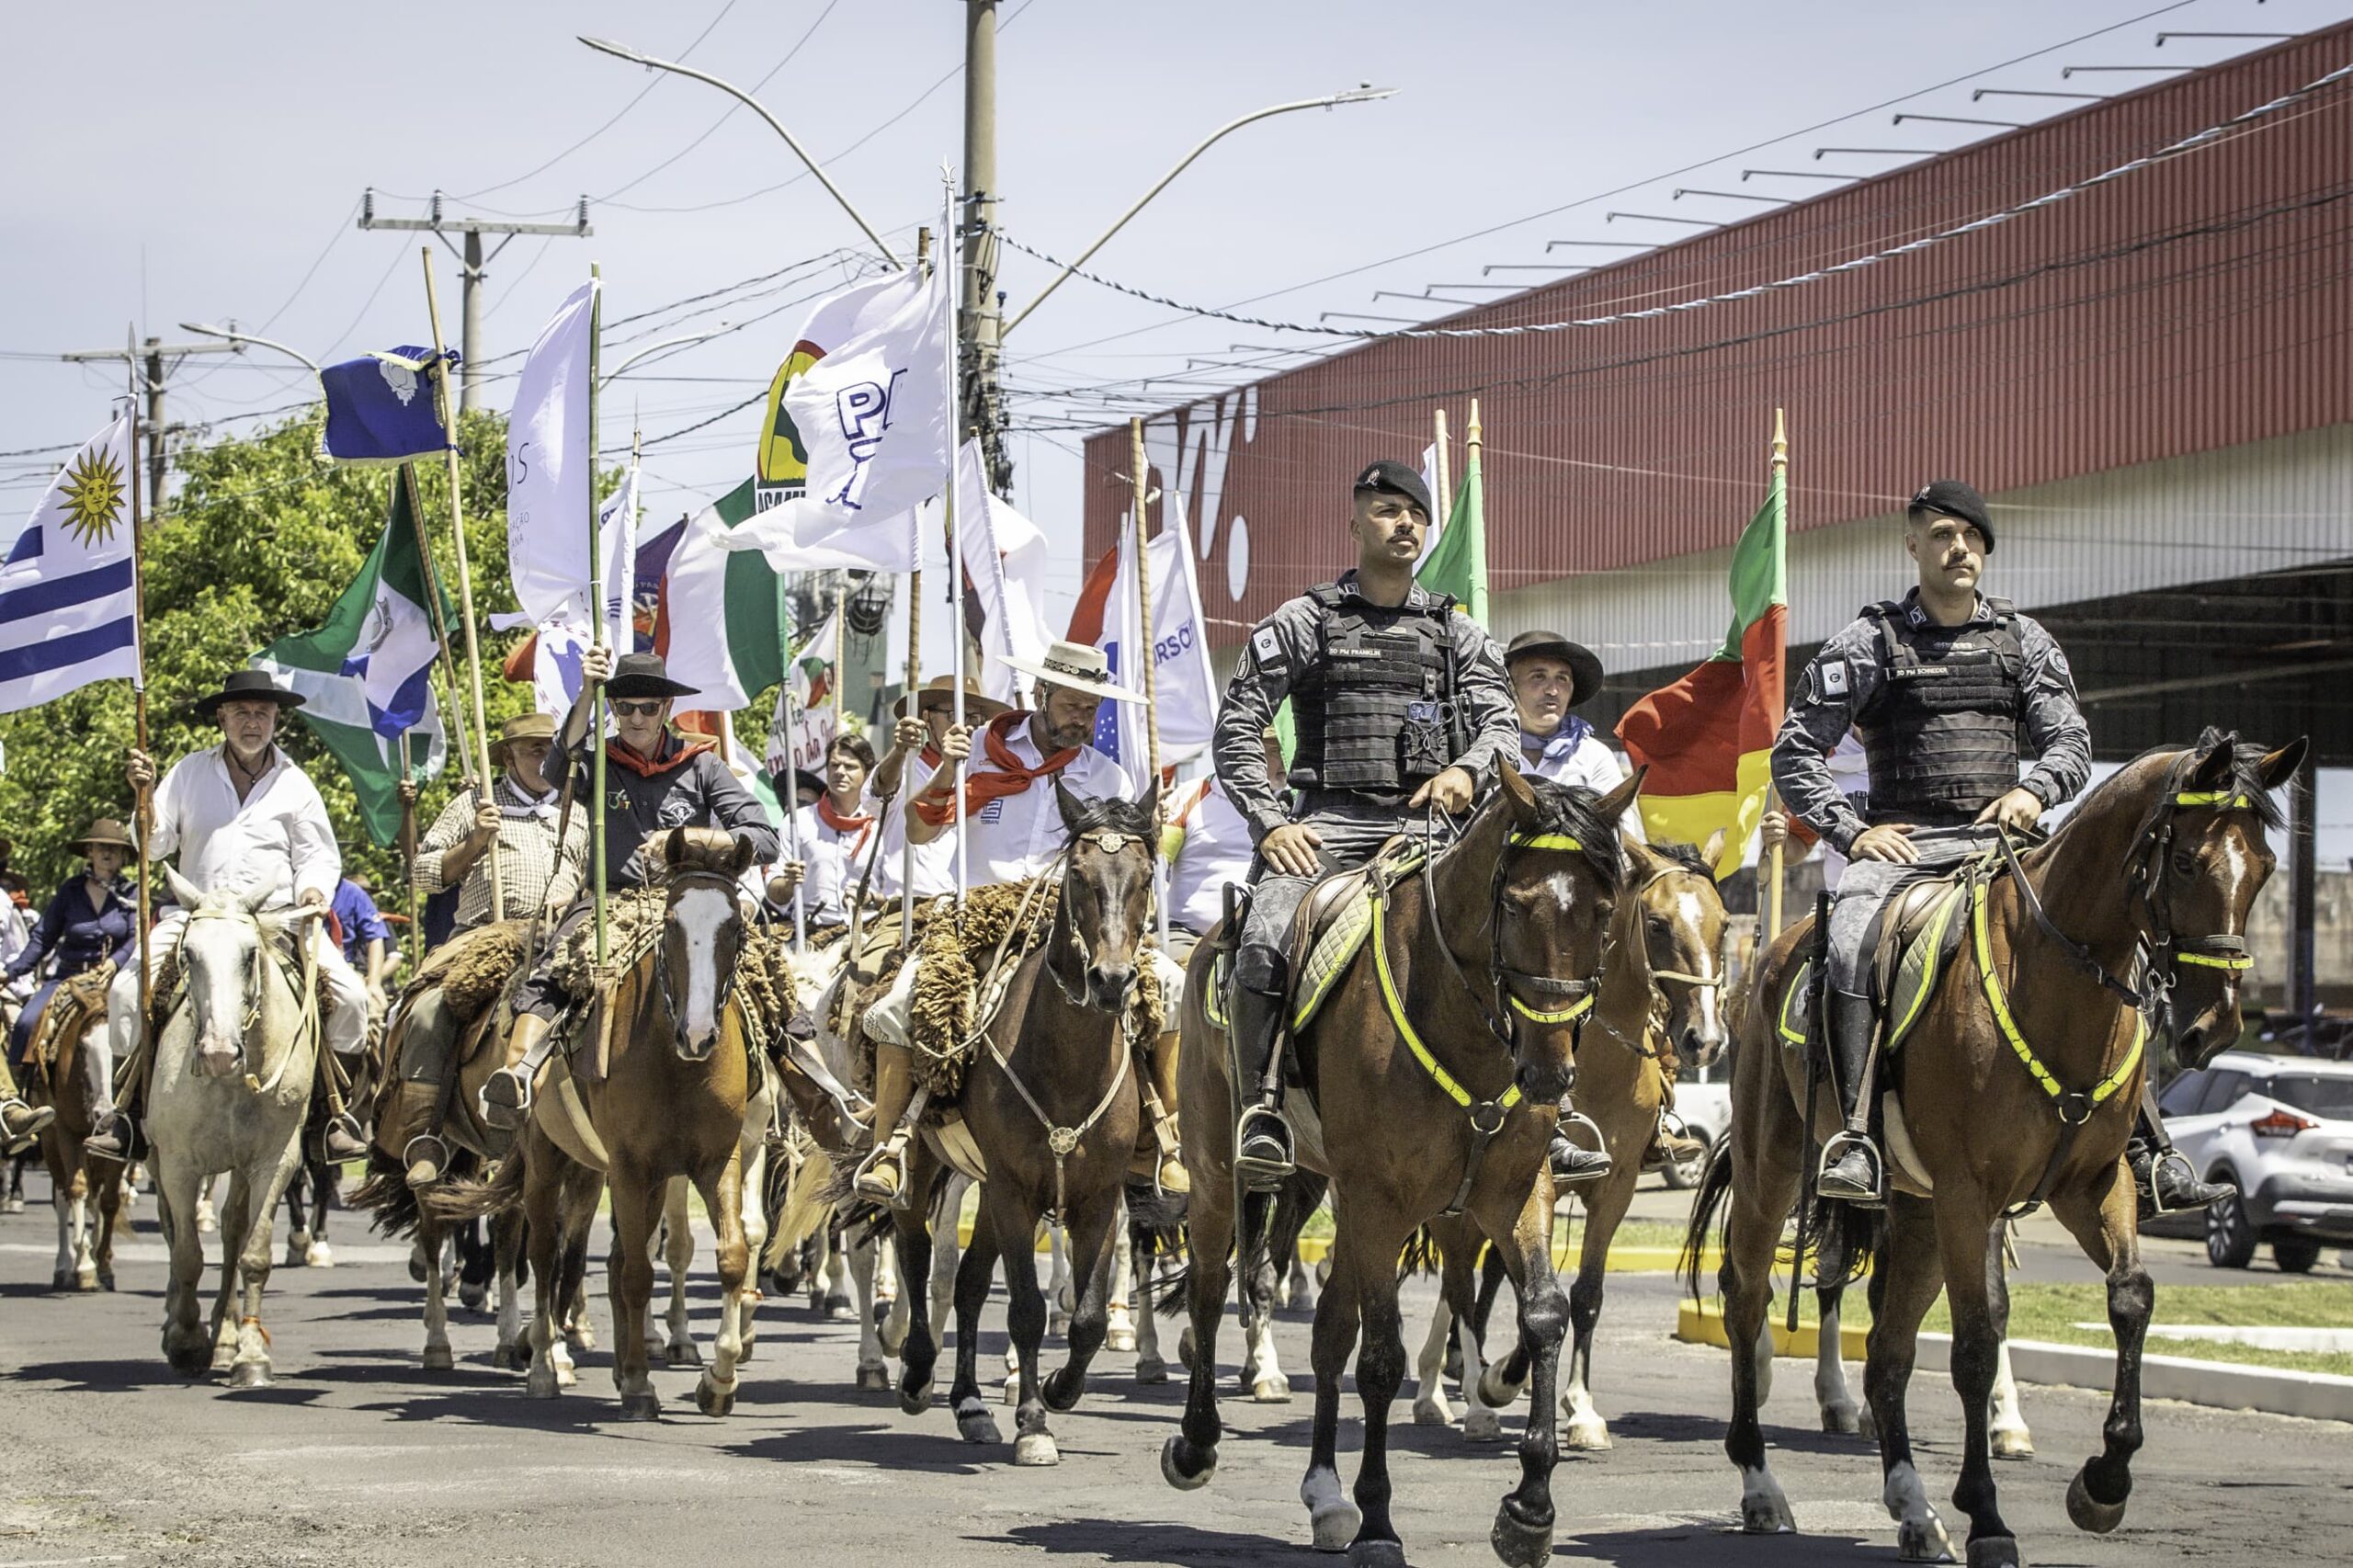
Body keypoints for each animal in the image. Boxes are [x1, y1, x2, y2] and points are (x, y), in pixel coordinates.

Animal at [118, 870, 317, 1384]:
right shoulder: (178, 1166)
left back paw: (226, 1339)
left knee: (232, 1231)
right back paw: (180, 1324)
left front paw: (250, 1355)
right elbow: (187, 1254)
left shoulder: (274, 1161)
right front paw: (186, 1341)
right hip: (158, 1158)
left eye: (249, 955)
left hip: (240, 1167)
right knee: (173, 1230)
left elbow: (254, 1254)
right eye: (189, 953)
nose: (219, 1054)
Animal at [442, 828, 762, 1412]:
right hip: (548, 1158)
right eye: (672, 924)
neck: (676, 1064)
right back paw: (544, 1365)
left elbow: (729, 1256)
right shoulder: (630, 1167)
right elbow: (635, 1273)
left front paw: (718, 1380)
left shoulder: (716, 1161)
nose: (698, 1034)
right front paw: (637, 1384)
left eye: (735, 927)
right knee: (544, 1253)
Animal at [889, 781, 1157, 1469]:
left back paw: (971, 1406)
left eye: (1145, 876)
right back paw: (917, 1373)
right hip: (926, 1163)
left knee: (968, 1283)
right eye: (1078, 875)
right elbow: (1029, 1310)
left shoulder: (1097, 1196)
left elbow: (1086, 1317)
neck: (1066, 1062)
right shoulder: (1014, 1191)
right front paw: (1034, 1422)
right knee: (916, 1249)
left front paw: (1061, 1389)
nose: (1111, 980)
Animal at [1162, 762, 1637, 1553]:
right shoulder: (1380, 1200)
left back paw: (1325, 1496)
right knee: (1206, 1287)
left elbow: (1543, 1315)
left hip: (1338, 1195)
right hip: (1219, 1174)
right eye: (1516, 906)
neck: (1463, 1019)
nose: (1549, 1074)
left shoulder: (1514, 1191)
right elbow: (1381, 1359)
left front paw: (1530, 1508)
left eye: (1604, 912)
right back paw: (1198, 1445)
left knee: (1327, 1333)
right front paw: (1380, 1521)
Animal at [1684, 734, 2305, 1562]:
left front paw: (2104, 1483)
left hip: (1914, 1213)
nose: (2217, 1027)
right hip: (1774, 1171)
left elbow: (2132, 1297)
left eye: (2263, 867)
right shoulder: (1968, 1195)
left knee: (1887, 1352)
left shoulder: (2092, 1184)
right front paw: (1988, 1517)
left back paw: (1914, 1510)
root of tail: (1763, 959)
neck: (2055, 983)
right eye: (2184, 863)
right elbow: (1976, 1345)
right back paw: (1761, 1485)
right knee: (1746, 1301)